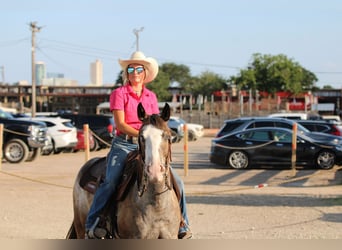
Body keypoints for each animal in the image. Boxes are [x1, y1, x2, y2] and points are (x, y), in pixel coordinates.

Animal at [66, 102, 182, 239]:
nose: (154, 171)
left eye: (166, 135)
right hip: (80, 228)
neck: (157, 203)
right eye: (141, 137)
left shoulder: (170, 236)